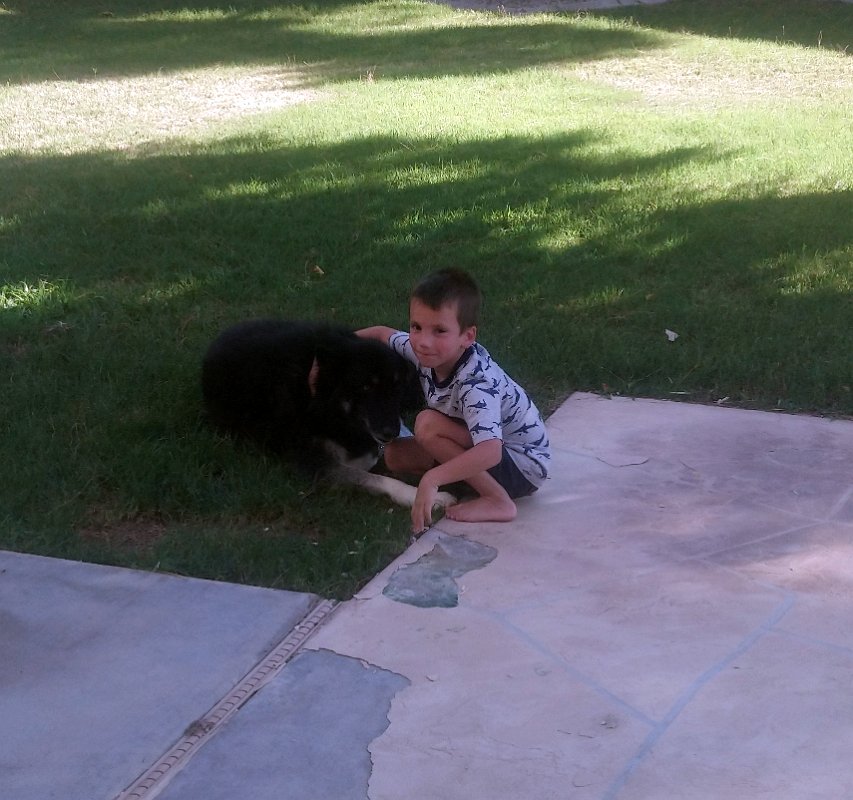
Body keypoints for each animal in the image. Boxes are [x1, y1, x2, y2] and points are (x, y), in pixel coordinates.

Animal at [201, 319, 455, 510]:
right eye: (366, 387)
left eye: (397, 388)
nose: (390, 433)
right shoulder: (317, 466)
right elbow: (377, 478)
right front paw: (424, 496)